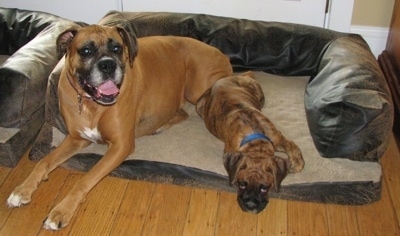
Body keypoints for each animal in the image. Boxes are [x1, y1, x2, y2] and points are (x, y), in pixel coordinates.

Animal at [6, 24, 233, 230]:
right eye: (86, 51)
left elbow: (84, 179)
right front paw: (22, 190)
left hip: (197, 91)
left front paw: (61, 211)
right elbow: (43, 162)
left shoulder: (120, 146)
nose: (108, 65)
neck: (90, 104)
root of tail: (220, 53)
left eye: (116, 48)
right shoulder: (77, 139)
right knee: (181, 113)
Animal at [195, 72, 304, 214]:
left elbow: (296, 152)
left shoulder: (280, 140)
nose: (250, 206)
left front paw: (294, 164)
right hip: (199, 106)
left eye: (264, 188)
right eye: (241, 184)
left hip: (258, 92)